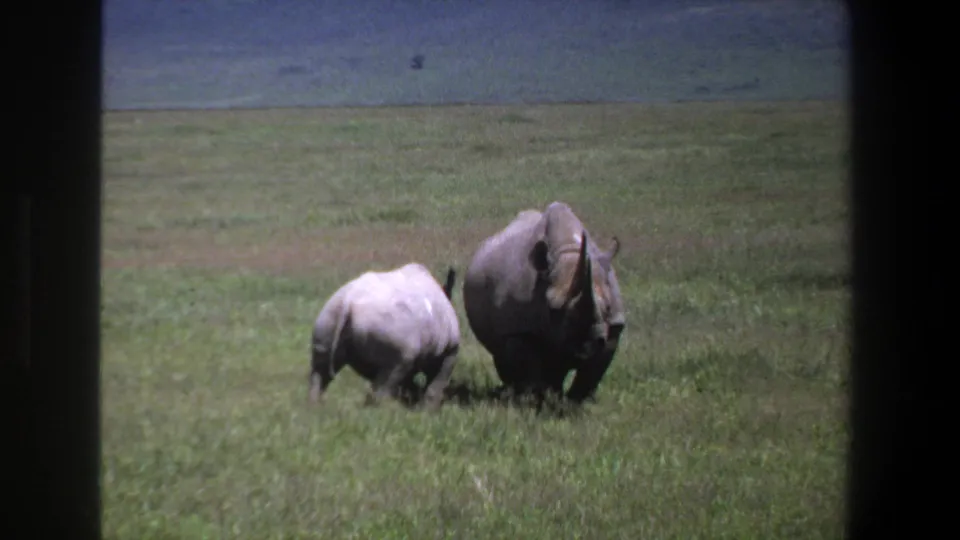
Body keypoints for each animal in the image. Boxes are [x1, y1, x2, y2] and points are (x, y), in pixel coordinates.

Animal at [308, 263, 461, 410]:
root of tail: (348, 300)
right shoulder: (450, 350)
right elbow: (437, 382)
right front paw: (427, 412)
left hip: (329, 314)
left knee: (321, 370)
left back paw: (314, 408)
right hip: (390, 327)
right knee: (389, 377)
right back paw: (381, 413)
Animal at [462, 201, 626, 405]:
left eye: (608, 307)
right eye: (552, 309)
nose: (586, 346)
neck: (568, 252)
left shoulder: (613, 328)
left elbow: (591, 374)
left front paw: (575, 404)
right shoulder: (519, 328)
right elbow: (530, 369)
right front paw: (535, 402)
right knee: (503, 356)